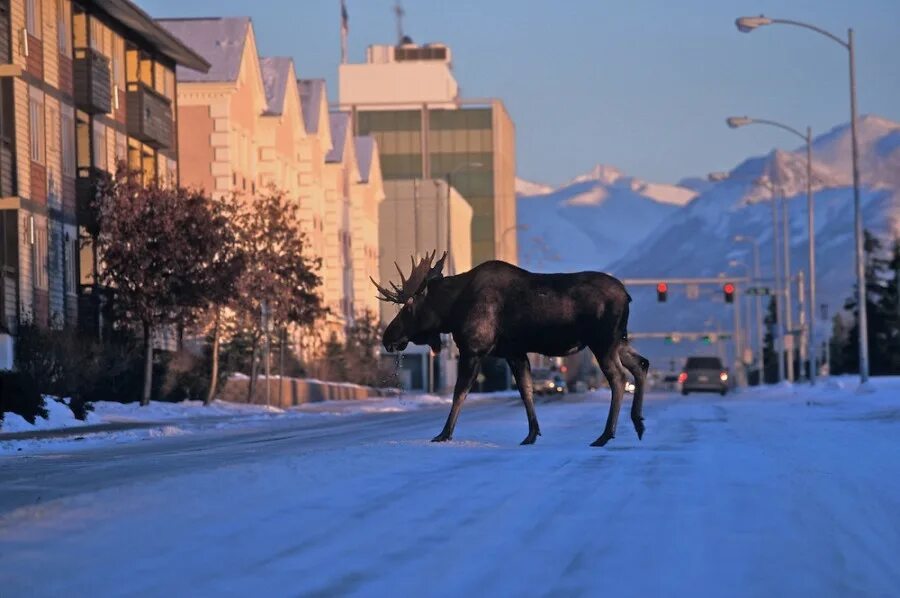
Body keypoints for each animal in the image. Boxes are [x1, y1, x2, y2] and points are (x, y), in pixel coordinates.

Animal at [370, 251, 648, 448]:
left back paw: (605, 434)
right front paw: (531, 434)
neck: (452, 310)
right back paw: (638, 423)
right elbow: (526, 391)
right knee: (641, 364)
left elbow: (459, 393)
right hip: (618, 340)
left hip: (602, 341)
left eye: (407, 307)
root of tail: (627, 295)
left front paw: (444, 433)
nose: (387, 337)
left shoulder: (473, 349)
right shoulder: (514, 352)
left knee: (619, 378)